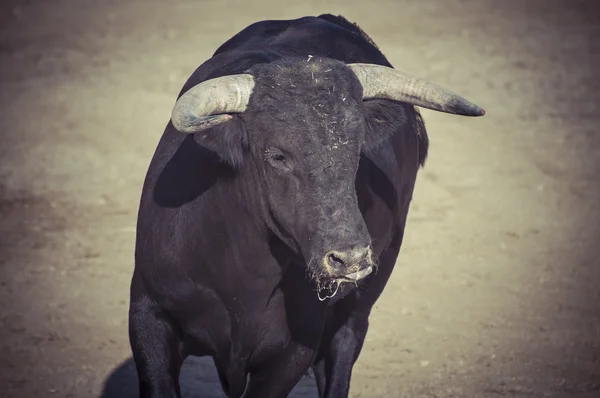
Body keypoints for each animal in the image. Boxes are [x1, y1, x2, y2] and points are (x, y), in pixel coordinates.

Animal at [127, 14, 482, 398]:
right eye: (277, 155)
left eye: (357, 148)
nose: (350, 258)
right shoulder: (148, 314)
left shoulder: (294, 351)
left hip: (360, 305)